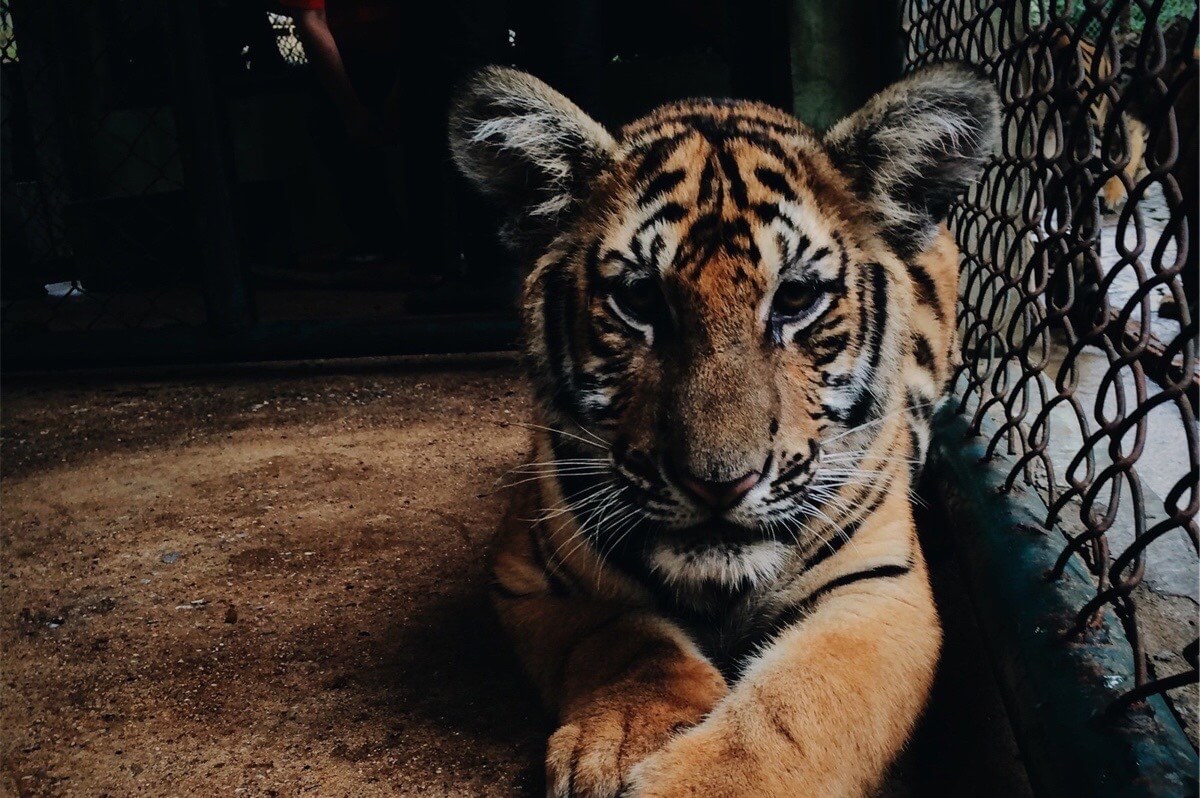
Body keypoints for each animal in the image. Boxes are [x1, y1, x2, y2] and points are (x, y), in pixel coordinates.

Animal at [449, 62, 998, 797]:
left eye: (795, 298)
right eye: (640, 299)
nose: (719, 485)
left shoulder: (882, 585)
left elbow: (802, 705)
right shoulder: (531, 568)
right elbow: (625, 635)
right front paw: (620, 740)